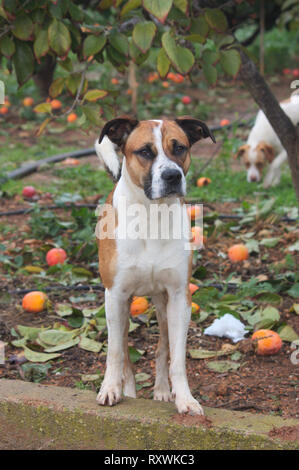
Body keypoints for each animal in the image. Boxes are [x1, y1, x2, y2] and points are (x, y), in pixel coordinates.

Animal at [95, 117, 216, 414]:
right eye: (145, 152)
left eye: (180, 147)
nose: (172, 176)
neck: (152, 214)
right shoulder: (114, 295)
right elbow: (116, 352)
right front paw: (110, 389)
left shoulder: (179, 297)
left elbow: (177, 357)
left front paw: (184, 398)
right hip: (124, 306)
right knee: (125, 351)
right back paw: (128, 390)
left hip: (163, 305)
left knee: (163, 347)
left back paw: (161, 391)